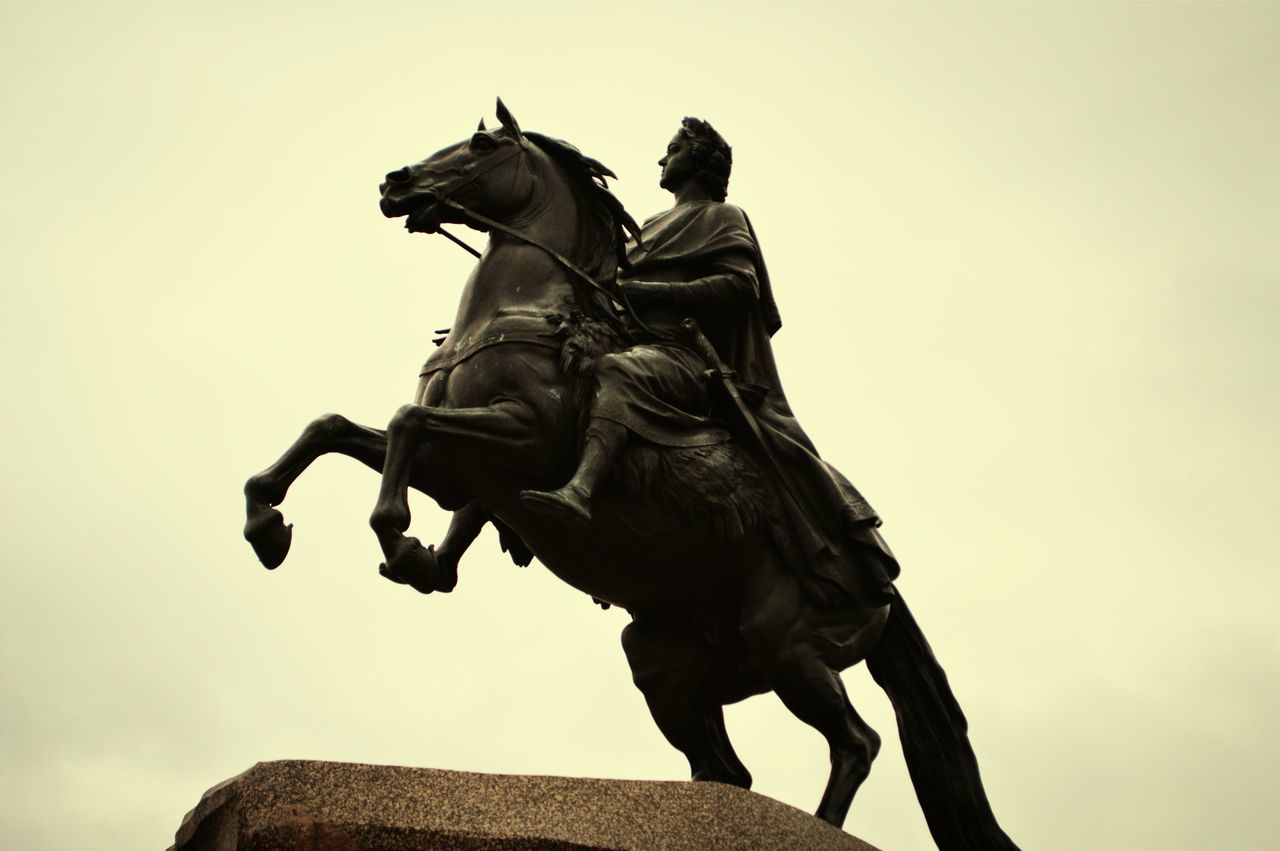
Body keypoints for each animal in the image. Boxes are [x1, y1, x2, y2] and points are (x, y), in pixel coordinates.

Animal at [241, 101, 1018, 849]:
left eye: (482, 145)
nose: (395, 183)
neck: (521, 308)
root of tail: (880, 578)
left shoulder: (521, 438)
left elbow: (404, 422)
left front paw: (397, 538)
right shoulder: (455, 472)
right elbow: (333, 427)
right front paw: (269, 524)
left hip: (789, 646)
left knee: (856, 741)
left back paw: (818, 825)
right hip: (670, 664)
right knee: (727, 769)